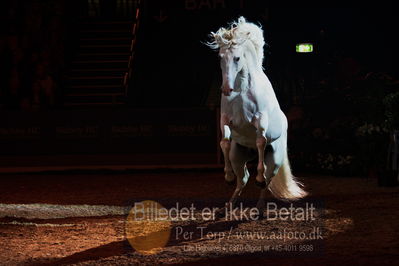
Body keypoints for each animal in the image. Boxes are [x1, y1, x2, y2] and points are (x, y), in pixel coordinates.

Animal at [208, 17, 308, 214]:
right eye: (220, 57)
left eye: (237, 58)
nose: (226, 89)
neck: (241, 90)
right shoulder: (225, 120)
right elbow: (224, 142)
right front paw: (227, 176)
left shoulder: (260, 120)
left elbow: (261, 141)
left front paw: (259, 178)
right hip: (237, 156)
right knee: (243, 179)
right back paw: (227, 207)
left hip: (275, 158)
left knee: (267, 180)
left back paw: (259, 208)